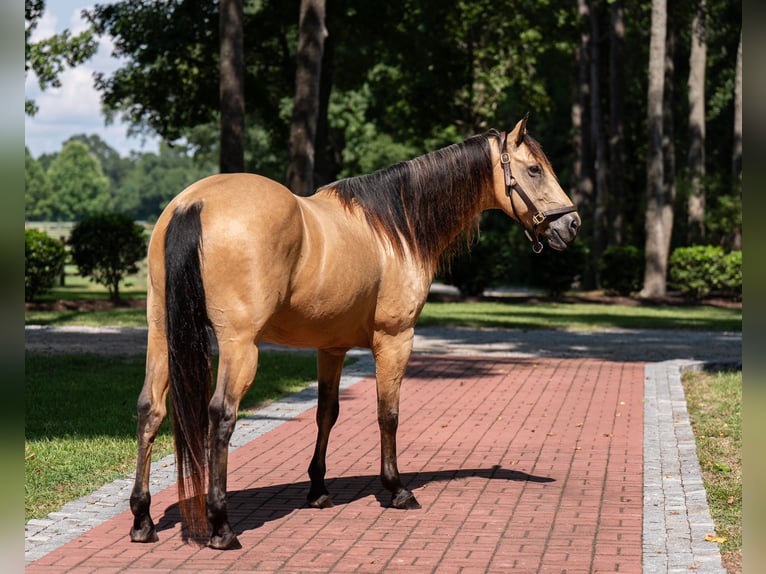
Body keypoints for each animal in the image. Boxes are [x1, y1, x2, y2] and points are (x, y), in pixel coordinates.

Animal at [128, 116, 580, 550]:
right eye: (535, 169)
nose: (572, 224)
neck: (394, 227)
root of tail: (194, 203)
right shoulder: (395, 339)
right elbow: (388, 414)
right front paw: (397, 490)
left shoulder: (332, 348)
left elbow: (326, 413)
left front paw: (318, 489)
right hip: (241, 346)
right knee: (221, 415)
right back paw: (221, 527)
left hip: (162, 337)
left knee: (150, 409)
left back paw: (142, 520)